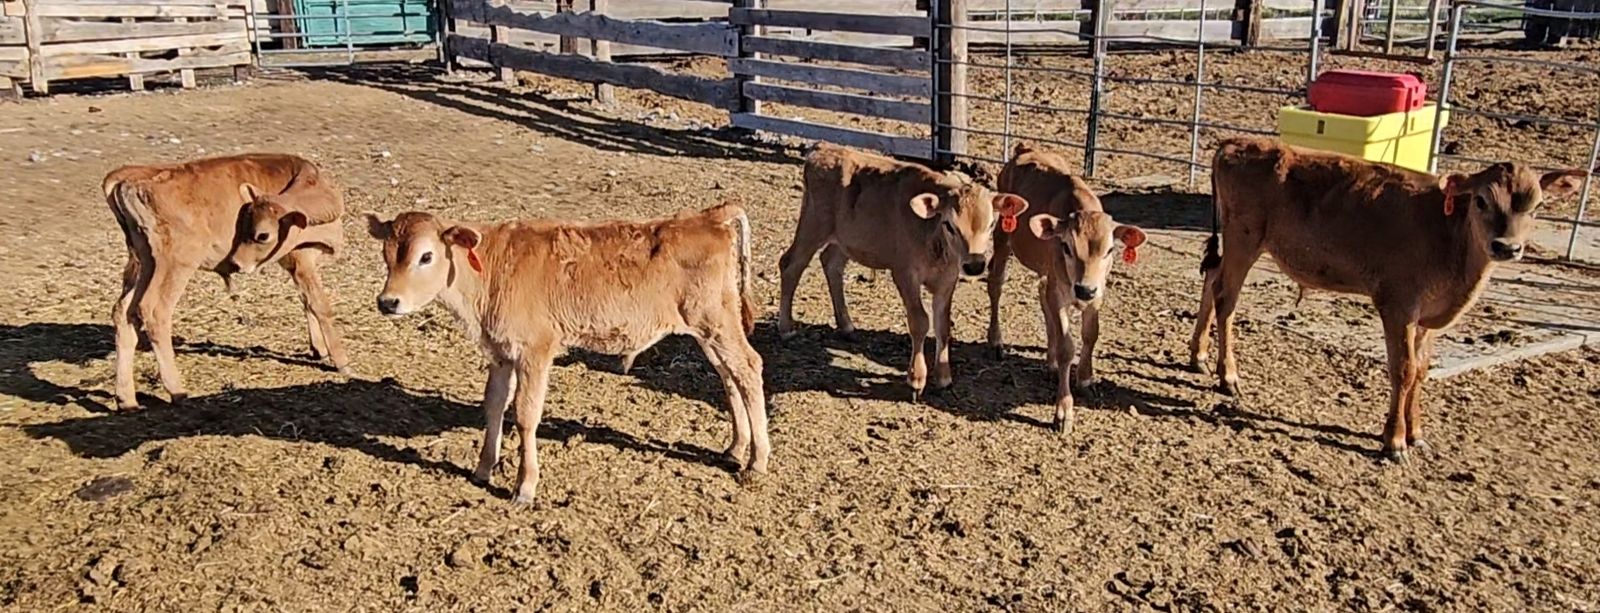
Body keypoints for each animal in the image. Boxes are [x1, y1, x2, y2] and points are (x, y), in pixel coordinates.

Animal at [104, 154, 350, 410]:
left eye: (259, 233)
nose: (237, 262)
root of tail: (128, 178)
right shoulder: (300, 257)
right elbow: (319, 304)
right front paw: (342, 361)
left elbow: (306, 301)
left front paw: (319, 349)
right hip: (175, 263)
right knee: (154, 311)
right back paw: (176, 390)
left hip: (143, 262)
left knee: (124, 312)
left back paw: (126, 399)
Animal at [364, 203, 765, 504]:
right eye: (387, 255)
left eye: (426, 256)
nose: (388, 302)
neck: (494, 269)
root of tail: (708, 216)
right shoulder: (501, 353)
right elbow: (493, 404)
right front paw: (483, 468)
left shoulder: (535, 352)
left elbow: (525, 415)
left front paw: (524, 487)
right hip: (709, 331)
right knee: (730, 377)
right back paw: (736, 448)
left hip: (716, 322)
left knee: (748, 367)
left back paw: (757, 461)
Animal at [776, 144, 1029, 400]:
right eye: (949, 225)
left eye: (991, 224)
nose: (975, 264)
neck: (931, 236)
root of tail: (823, 148)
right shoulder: (905, 273)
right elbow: (920, 321)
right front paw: (916, 379)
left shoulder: (947, 279)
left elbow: (942, 325)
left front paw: (944, 376)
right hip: (813, 225)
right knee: (791, 264)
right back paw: (786, 328)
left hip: (846, 238)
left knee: (831, 263)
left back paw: (846, 325)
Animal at [986, 142, 1147, 434]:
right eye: (1067, 247)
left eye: (1110, 250)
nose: (1084, 290)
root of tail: (1024, 150)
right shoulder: (1060, 292)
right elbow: (1066, 347)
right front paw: (1063, 411)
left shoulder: (1096, 293)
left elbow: (1090, 334)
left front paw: (1085, 380)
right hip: (1003, 237)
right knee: (996, 284)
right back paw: (995, 341)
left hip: (1046, 271)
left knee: (1042, 298)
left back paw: (1049, 364)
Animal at [1189, 137, 1588, 461]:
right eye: (1481, 200)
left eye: (1536, 206)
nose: (1507, 246)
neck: (1448, 234)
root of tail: (1237, 143)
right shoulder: (1398, 306)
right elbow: (1404, 369)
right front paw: (1395, 440)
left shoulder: (1428, 317)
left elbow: (1422, 370)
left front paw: (1416, 433)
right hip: (1245, 239)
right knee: (1226, 298)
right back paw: (1228, 376)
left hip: (1234, 242)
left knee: (1212, 278)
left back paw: (1199, 355)